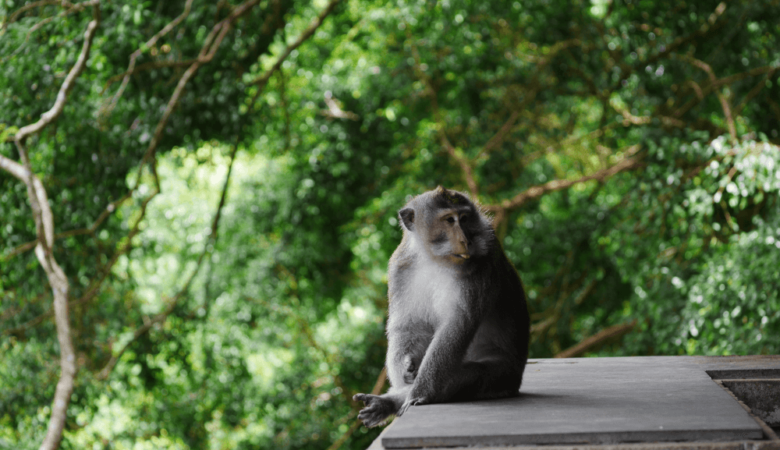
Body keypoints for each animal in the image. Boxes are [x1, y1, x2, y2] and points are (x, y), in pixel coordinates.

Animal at [354, 185, 532, 428]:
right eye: (449, 220)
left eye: (464, 218)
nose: (466, 240)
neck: (434, 259)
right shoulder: (400, 266)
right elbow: (408, 325)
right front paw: (406, 366)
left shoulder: (481, 266)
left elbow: (457, 326)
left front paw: (417, 394)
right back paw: (386, 402)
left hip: (502, 377)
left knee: (464, 377)